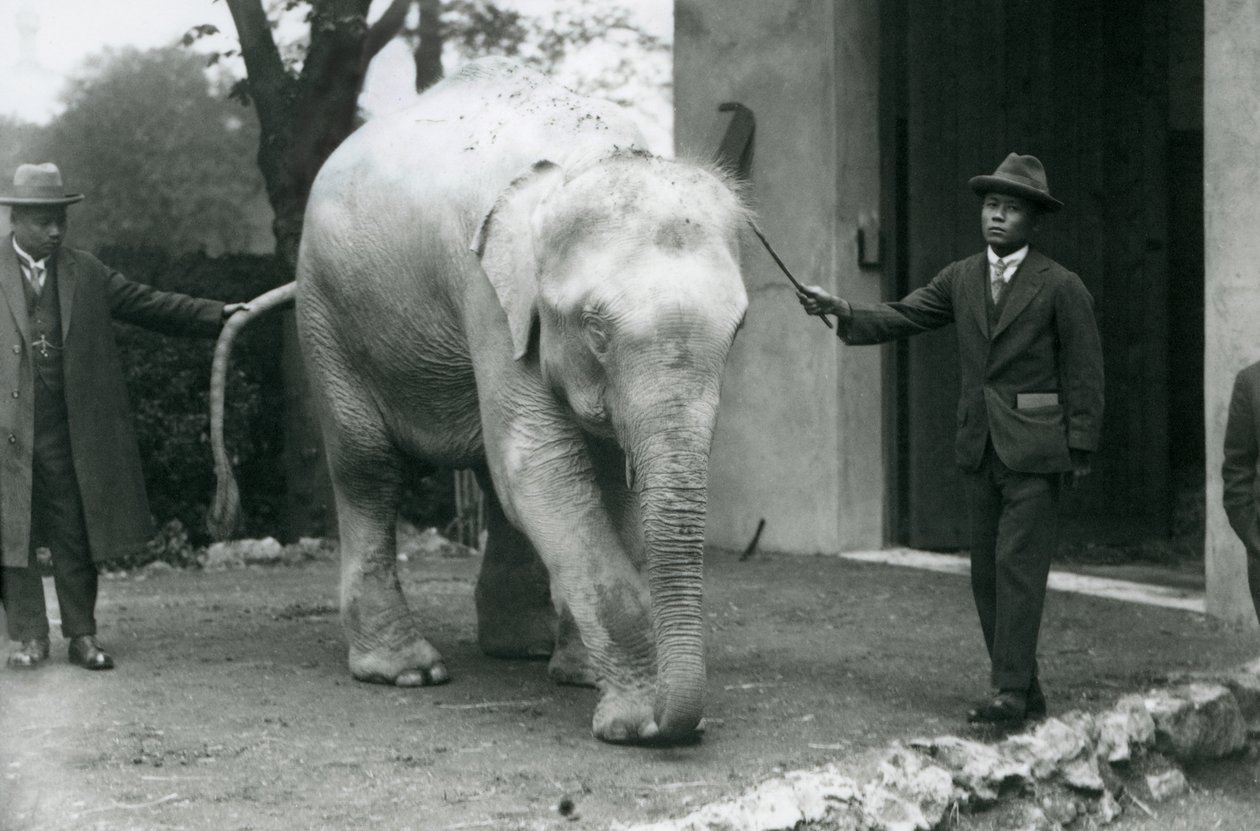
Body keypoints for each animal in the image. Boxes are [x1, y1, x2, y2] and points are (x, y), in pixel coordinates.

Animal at [208, 57, 750, 745]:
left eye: (738, 329)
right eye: (596, 329)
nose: (675, 725)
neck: (587, 154)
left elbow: (605, 482)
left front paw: (591, 685)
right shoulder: (488, 292)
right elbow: (540, 468)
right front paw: (633, 726)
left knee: (488, 484)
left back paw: (522, 652)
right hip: (328, 315)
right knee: (368, 467)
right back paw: (406, 672)